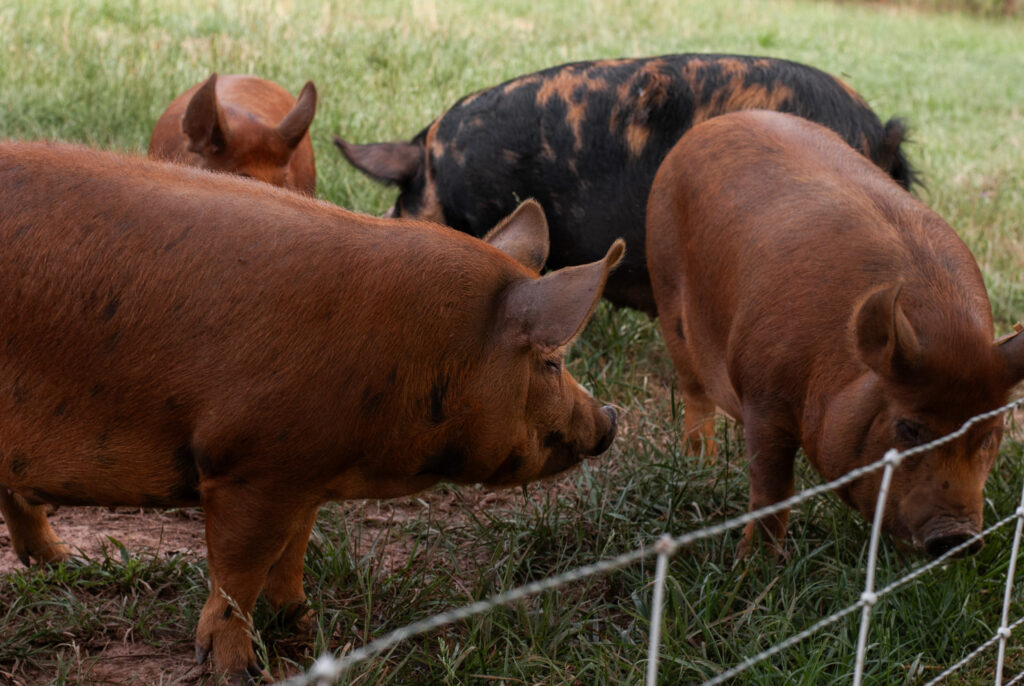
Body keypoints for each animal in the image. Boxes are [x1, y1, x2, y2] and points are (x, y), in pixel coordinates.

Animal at [0, 141, 622, 683]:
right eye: (550, 362)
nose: (611, 417)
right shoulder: (249, 466)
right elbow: (239, 573)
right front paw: (240, 671)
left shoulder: (303, 476)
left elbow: (292, 551)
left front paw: (305, 627)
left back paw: (66, 564)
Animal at [647, 109, 1024, 556]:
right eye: (909, 428)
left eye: (988, 435)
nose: (959, 537)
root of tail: (716, 122)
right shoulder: (762, 393)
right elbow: (773, 488)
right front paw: (752, 565)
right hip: (666, 287)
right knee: (693, 389)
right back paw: (700, 459)